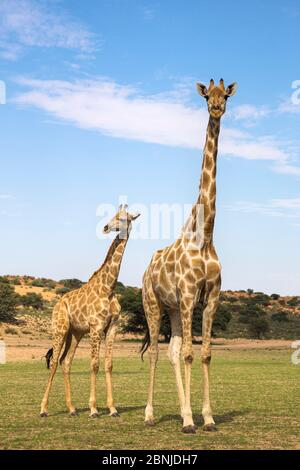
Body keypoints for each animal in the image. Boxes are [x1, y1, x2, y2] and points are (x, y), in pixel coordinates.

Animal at [39, 204, 141, 416]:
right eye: (113, 215)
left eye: (123, 218)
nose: (105, 227)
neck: (109, 288)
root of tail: (58, 304)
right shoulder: (96, 327)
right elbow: (94, 365)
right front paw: (93, 409)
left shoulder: (112, 328)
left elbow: (108, 364)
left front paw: (112, 408)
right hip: (60, 329)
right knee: (53, 362)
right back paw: (43, 409)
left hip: (75, 333)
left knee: (65, 362)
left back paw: (72, 408)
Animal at [142, 78, 238, 434]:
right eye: (206, 96)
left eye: (226, 96)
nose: (216, 109)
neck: (205, 237)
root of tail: (145, 270)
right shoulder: (186, 296)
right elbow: (189, 354)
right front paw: (188, 420)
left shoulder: (211, 298)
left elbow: (205, 353)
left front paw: (206, 417)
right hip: (153, 304)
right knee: (158, 352)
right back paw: (150, 414)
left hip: (171, 309)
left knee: (171, 350)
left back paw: (183, 410)